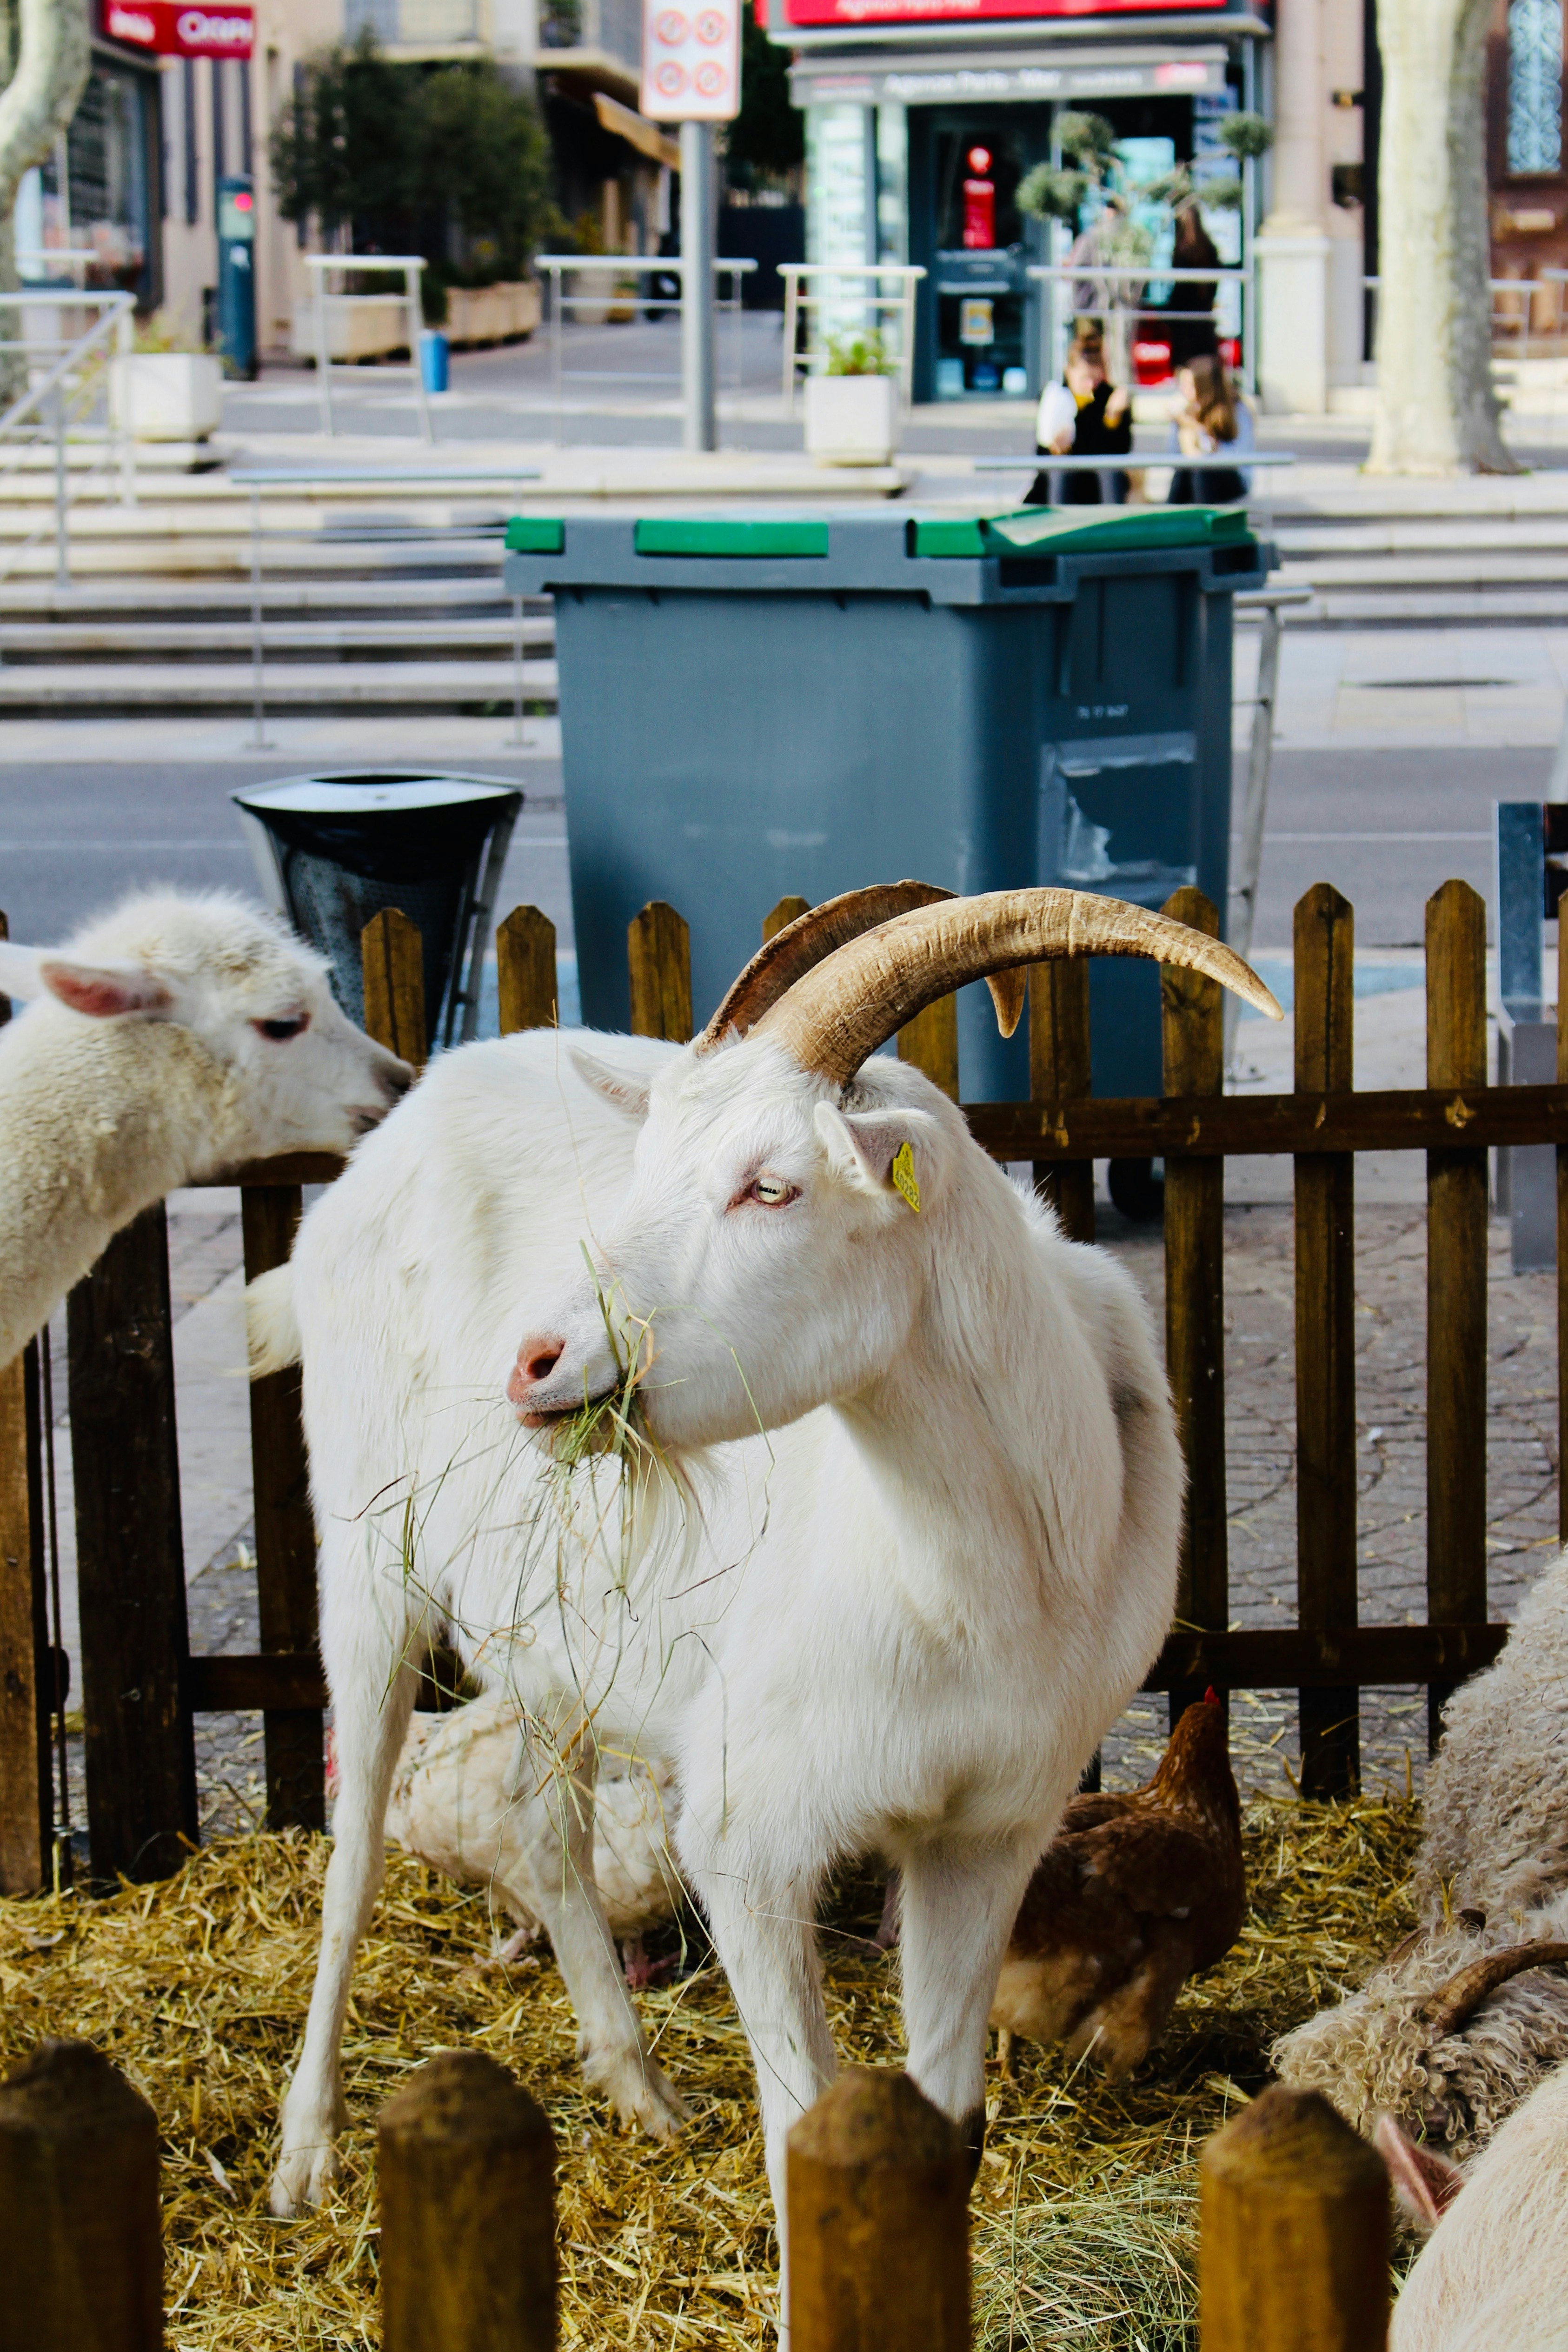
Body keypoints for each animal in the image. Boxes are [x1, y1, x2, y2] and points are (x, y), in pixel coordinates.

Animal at [261, 884, 1279, 2277]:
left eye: (770, 1186)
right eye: (645, 1166)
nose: (537, 1359)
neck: (981, 1577)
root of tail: (408, 1113)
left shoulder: (988, 1831)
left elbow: (947, 2125)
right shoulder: (749, 1839)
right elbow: (805, 2132)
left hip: (555, 1635)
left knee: (537, 1811)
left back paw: (636, 2085)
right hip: (367, 1544)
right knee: (354, 1838)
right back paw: (303, 2158)